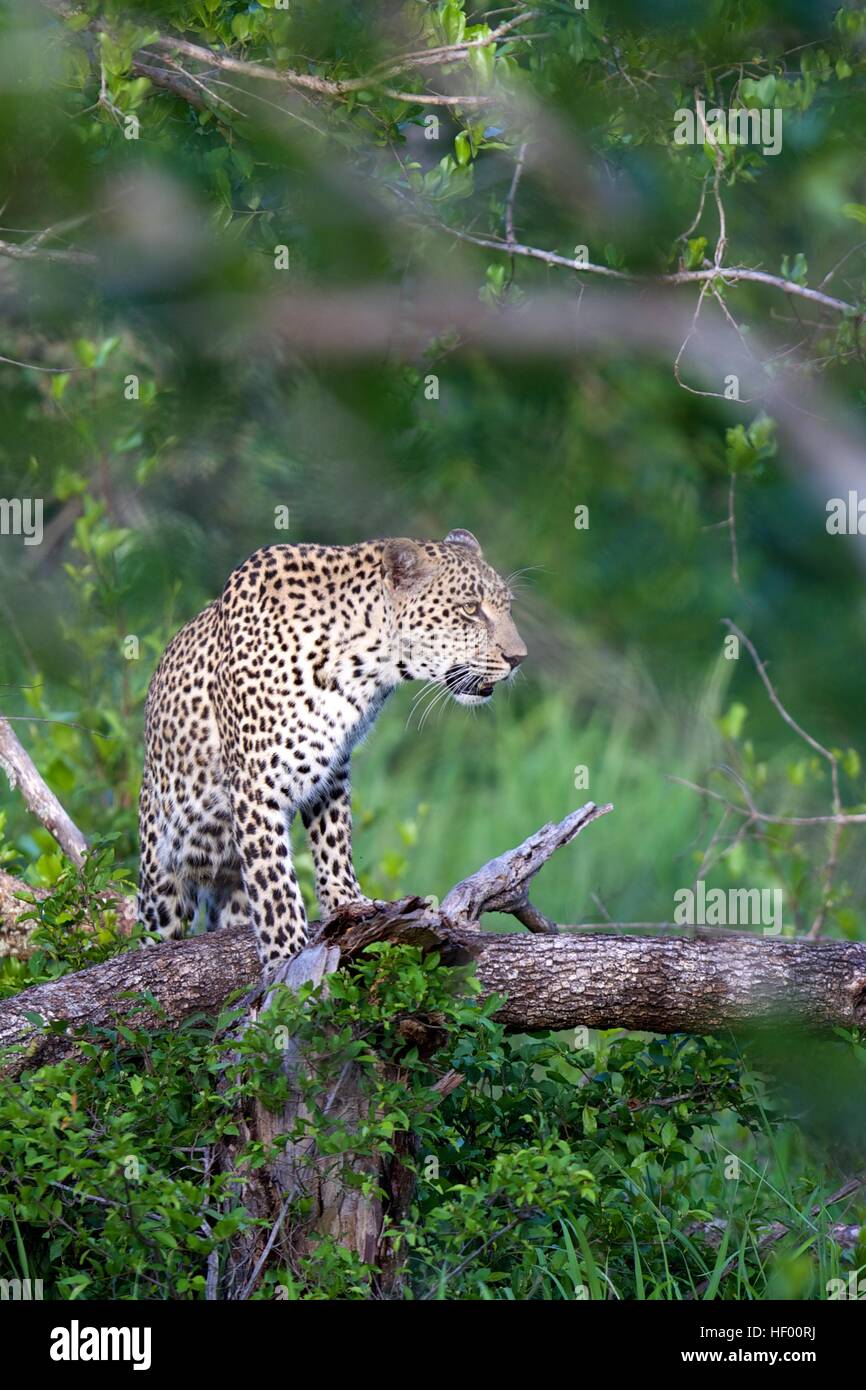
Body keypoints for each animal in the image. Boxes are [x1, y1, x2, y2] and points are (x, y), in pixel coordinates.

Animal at [136, 525, 528, 973]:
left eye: (506, 607)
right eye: (469, 609)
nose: (518, 658)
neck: (364, 668)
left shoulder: (332, 768)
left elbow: (334, 842)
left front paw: (350, 904)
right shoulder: (256, 787)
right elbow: (275, 887)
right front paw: (286, 959)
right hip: (161, 873)